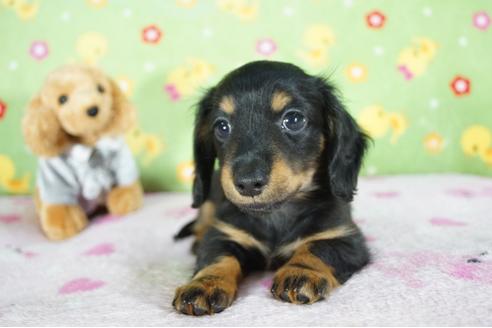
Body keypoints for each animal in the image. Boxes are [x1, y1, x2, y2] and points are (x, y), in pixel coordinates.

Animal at [23, 65, 142, 240]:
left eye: (100, 89)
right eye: (62, 99)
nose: (93, 109)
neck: (89, 142)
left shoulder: (118, 151)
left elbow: (124, 173)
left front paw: (126, 198)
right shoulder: (55, 168)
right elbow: (58, 192)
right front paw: (66, 222)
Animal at [173, 60, 368, 316]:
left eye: (294, 120)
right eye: (222, 126)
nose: (248, 182)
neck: (276, 214)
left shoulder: (345, 238)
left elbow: (316, 248)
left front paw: (300, 272)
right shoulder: (224, 233)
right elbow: (217, 257)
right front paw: (205, 284)